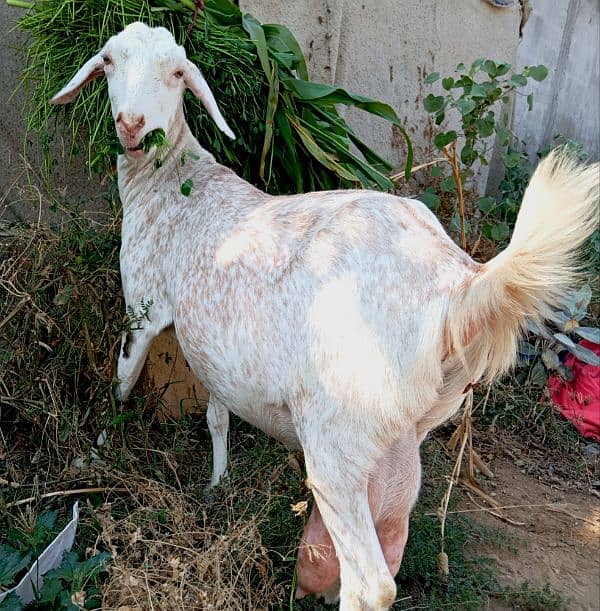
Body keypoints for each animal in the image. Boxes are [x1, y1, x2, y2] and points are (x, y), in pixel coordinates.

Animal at [50, 22, 596, 611]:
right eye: (109, 61)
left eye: (176, 73)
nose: (132, 124)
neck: (172, 177)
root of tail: (460, 283)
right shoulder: (217, 347)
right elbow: (217, 415)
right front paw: (217, 482)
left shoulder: (143, 306)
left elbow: (123, 383)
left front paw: (95, 456)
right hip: (396, 435)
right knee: (391, 545)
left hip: (337, 434)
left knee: (370, 582)